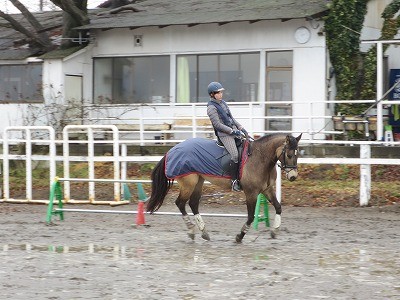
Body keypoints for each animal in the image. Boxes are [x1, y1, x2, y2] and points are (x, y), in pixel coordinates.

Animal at [146, 132, 300, 243]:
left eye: (297, 154)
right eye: (289, 154)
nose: (293, 176)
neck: (260, 158)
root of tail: (172, 150)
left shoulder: (267, 189)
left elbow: (278, 207)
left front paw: (275, 230)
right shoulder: (251, 193)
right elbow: (251, 217)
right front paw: (240, 236)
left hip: (198, 182)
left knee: (193, 204)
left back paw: (204, 232)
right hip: (188, 183)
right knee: (180, 203)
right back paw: (191, 230)